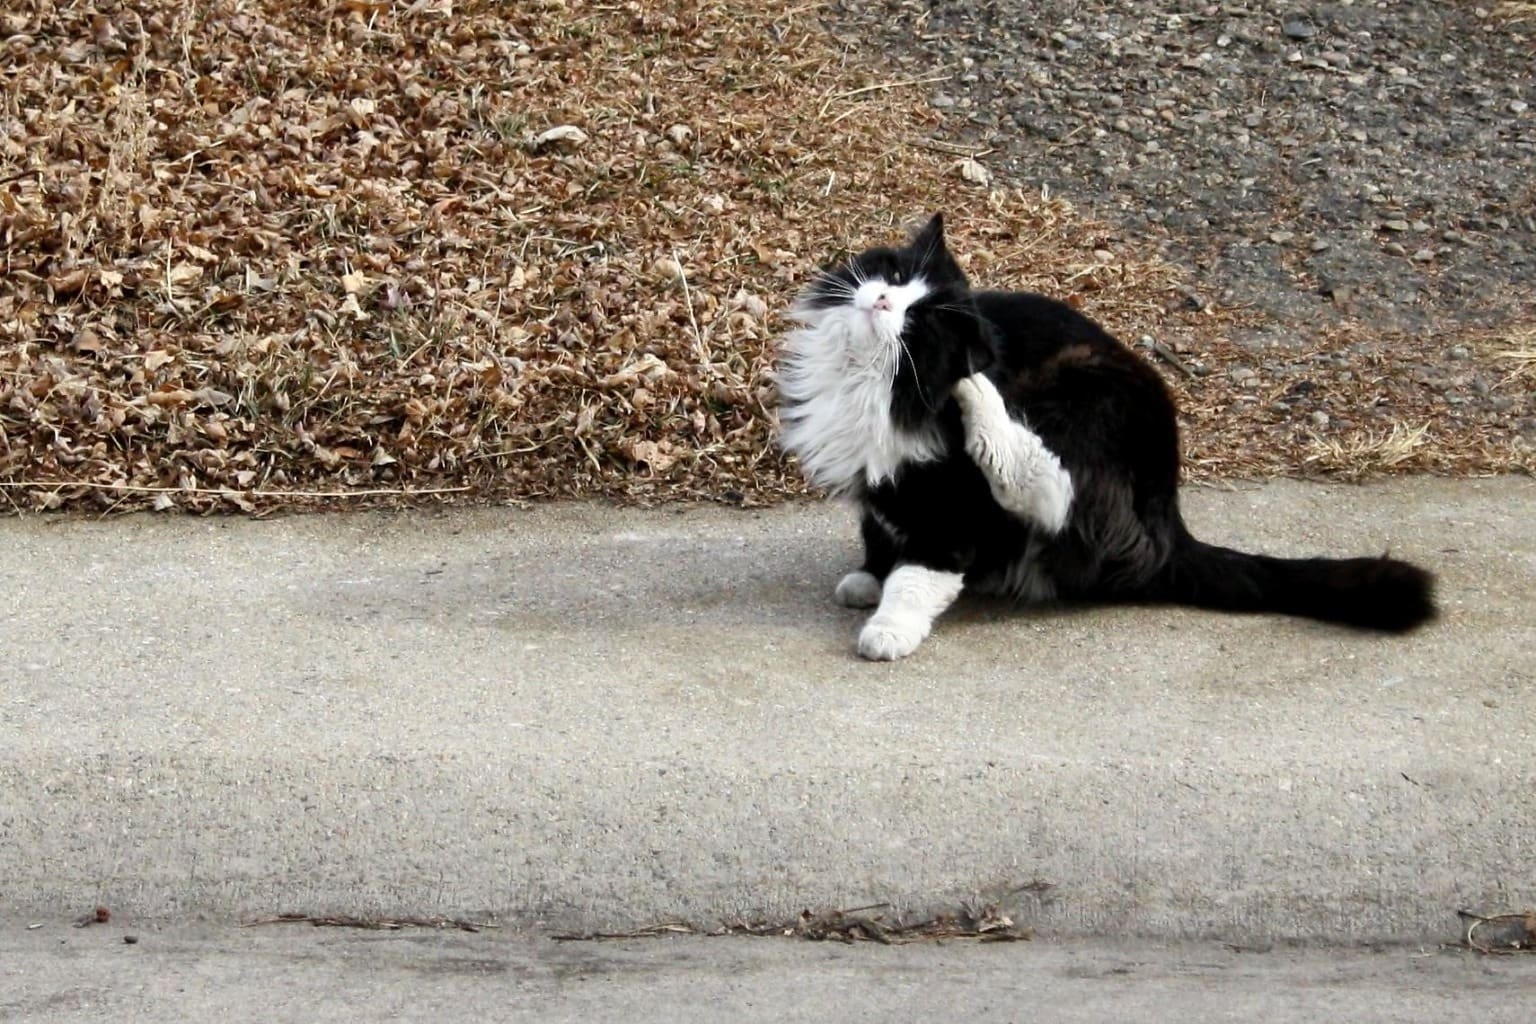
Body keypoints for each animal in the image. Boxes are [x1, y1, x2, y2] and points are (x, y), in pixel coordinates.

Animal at [780, 218, 1437, 666]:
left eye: (918, 326)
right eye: (894, 278)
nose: (882, 300)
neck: (869, 381)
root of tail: (1170, 523)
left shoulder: (951, 506)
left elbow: (921, 573)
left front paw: (889, 627)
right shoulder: (881, 482)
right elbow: (878, 531)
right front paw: (869, 577)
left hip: (1087, 395)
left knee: (1043, 485)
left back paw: (979, 399)